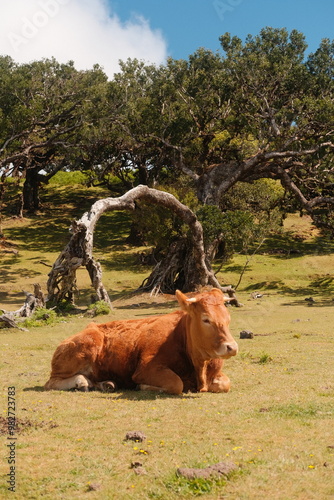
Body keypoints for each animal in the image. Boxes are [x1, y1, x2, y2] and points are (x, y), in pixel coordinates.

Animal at [43, 290, 237, 394]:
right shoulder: (145, 369)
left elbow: (225, 384)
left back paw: (106, 384)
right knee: (51, 382)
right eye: (206, 319)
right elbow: (176, 384)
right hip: (84, 347)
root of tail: (91, 327)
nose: (232, 347)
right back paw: (81, 382)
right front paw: (143, 386)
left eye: (228, 318)